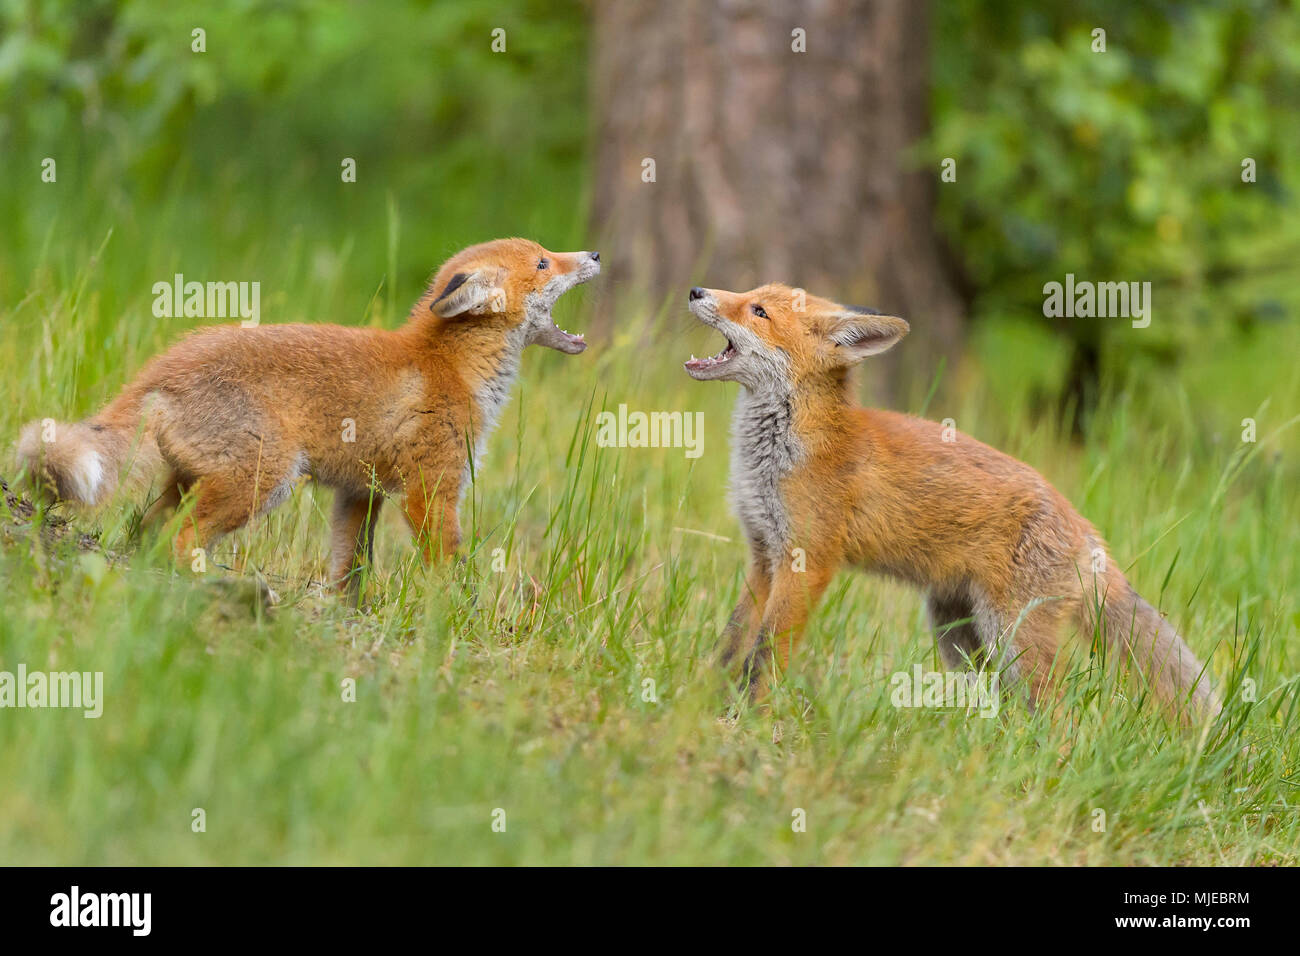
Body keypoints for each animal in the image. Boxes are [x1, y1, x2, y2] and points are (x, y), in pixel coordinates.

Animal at [16, 238, 600, 595]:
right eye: (544, 263)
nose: (595, 253)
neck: (452, 368)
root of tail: (161, 367)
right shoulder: (430, 490)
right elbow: (447, 565)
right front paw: (451, 618)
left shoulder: (361, 494)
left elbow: (349, 573)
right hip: (264, 479)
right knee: (181, 539)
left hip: (194, 480)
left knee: (148, 532)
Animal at [683, 283, 1220, 722]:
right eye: (749, 294)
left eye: (758, 310)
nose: (695, 290)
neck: (776, 455)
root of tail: (1084, 525)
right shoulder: (764, 555)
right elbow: (732, 641)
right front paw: (703, 698)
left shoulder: (806, 562)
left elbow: (765, 655)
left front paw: (749, 719)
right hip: (957, 633)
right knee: (999, 702)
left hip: (1012, 636)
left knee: (1059, 714)